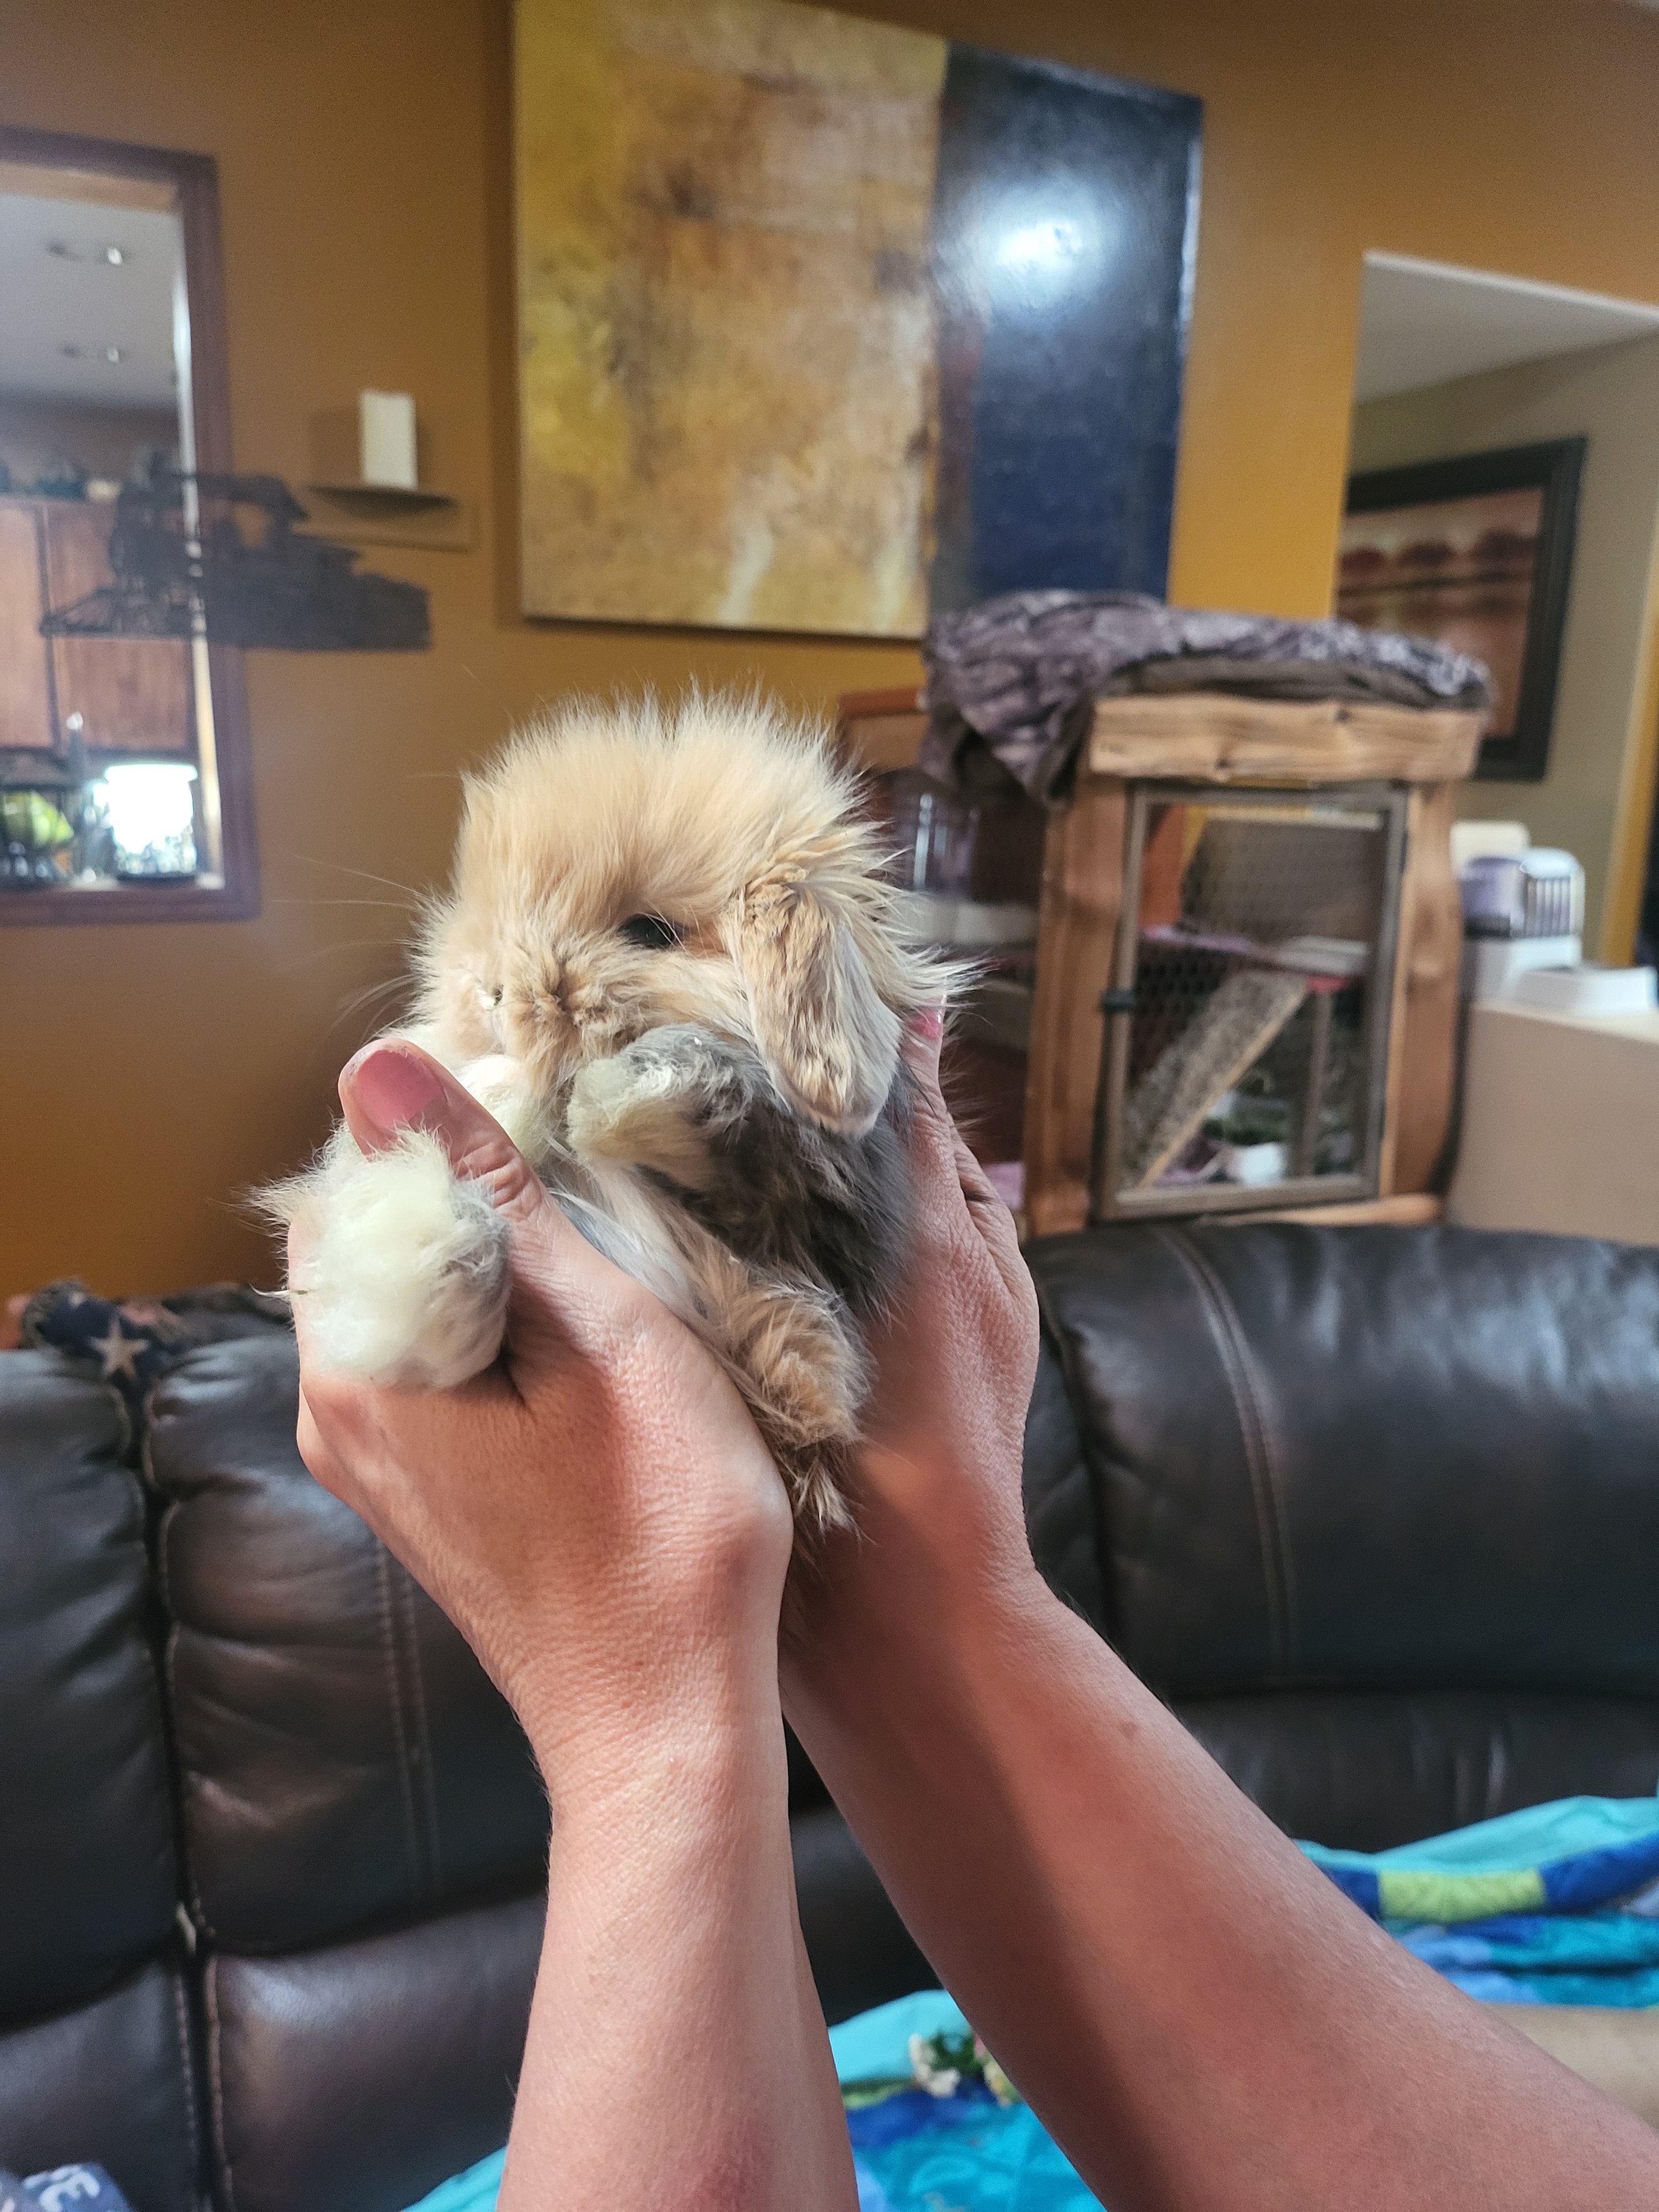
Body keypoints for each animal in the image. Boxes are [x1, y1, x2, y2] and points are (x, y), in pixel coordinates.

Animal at [265, 692, 952, 1543]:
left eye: (649, 932)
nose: (492, 987)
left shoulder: (808, 1264)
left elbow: (734, 1103)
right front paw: (412, 1253)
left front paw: (600, 1103)